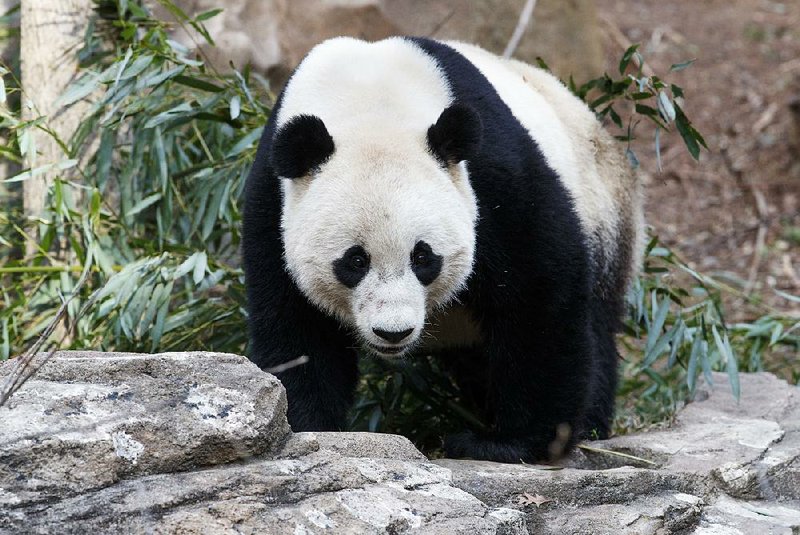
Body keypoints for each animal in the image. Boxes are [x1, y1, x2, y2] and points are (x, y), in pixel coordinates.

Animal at [242, 36, 644, 464]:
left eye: (423, 257)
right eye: (355, 261)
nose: (393, 332)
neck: (369, 100)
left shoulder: (491, 176)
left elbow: (538, 289)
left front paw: (514, 442)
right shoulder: (273, 201)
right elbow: (295, 325)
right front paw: (307, 427)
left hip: (602, 209)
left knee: (596, 325)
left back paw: (587, 424)